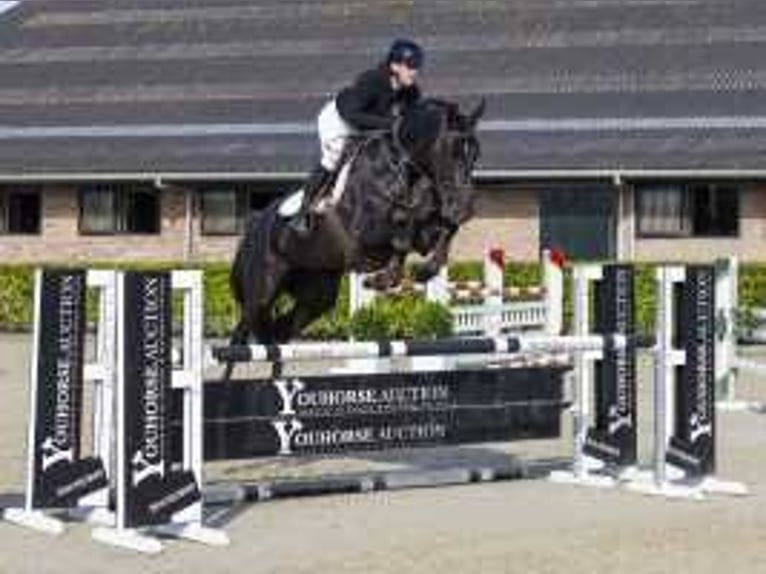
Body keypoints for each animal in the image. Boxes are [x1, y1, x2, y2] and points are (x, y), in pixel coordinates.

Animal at [226, 99, 486, 358]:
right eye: (451, 150)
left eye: (475, 153)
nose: (466, 207)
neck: (401, 168)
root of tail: (254, 227)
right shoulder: (366, 231)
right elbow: (402, 231)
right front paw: (382, 279)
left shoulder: (427, 225)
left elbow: (444, 230)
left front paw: (422, 271)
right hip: (262, 291)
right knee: (243, 330)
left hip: (317, 293)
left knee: (282, 328)